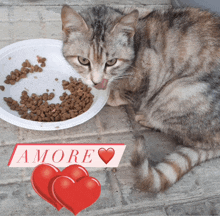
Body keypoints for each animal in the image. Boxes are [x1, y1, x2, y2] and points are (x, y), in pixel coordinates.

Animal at [60, 3, 220, 192]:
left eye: (111, 62)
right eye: (83, 60)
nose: (96, 81)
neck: (135, 44)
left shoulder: (147, 74)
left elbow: (123, 94)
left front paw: (110, 94)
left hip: (178, 91)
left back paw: (147, 118)